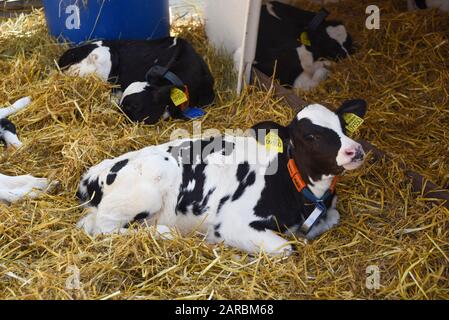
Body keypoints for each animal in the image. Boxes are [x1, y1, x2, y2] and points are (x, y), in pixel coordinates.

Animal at [75, 100, 366, 255]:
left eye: (344, 126)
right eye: (311, 136)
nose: (356, 150)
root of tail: (94, 173)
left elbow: (331, 219)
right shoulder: (231, 224)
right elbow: (285, 248)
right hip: (144, 192)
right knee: (102, 230)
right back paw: (164, 233)